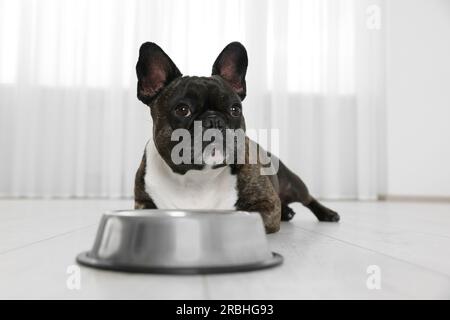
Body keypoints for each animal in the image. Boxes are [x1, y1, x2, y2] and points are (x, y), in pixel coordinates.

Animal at [133, 42, 338, 232]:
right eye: (182, 109)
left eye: (235, 109)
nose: (214, 120)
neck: (198, 177)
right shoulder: (144, 204)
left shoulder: (268, 204)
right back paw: (288, 212)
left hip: (292, 183)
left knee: (308, 198)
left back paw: (327, 213)